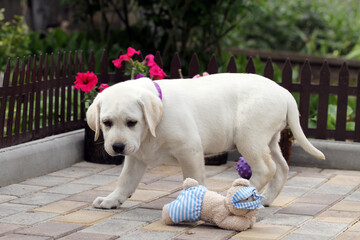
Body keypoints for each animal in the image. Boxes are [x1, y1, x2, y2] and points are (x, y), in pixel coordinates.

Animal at [86, 72, 324, 208]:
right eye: (106, 122)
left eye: (132, 122)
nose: (117, 147)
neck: (154, 125)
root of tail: (284, 91)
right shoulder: (136, 156)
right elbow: (125, 180)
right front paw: (111, 200)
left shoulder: (189, 150)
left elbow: (193, 179)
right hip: (270, 140)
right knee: (281, 168)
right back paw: (265, 199)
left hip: (249, 136)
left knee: (266, 169)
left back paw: (238, 195)